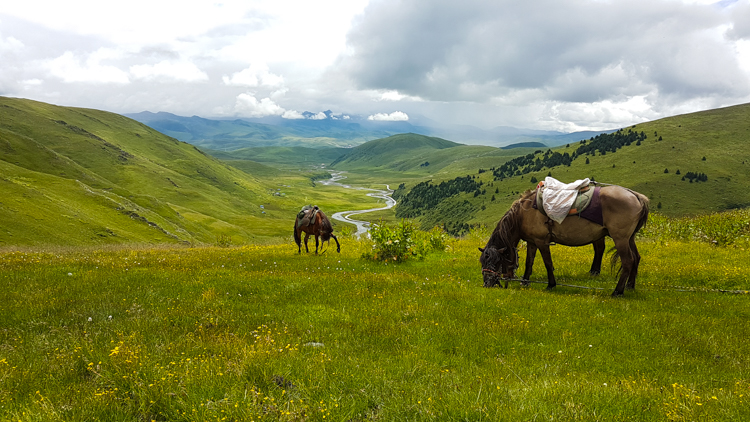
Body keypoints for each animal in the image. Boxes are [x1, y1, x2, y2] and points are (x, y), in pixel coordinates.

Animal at [484, 185, 648, 296]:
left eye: (495, 261)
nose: (487, 283)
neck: (524, 212)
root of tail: (636, 196)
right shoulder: (532, 242)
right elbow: (529, 262)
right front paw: (525, 282)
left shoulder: (542, 242)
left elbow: (548, 263)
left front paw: (551, 284)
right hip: (629, 239)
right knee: (636, 258)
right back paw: (630, 286)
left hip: (620, 239)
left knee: (628, 261)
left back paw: (617, 291)